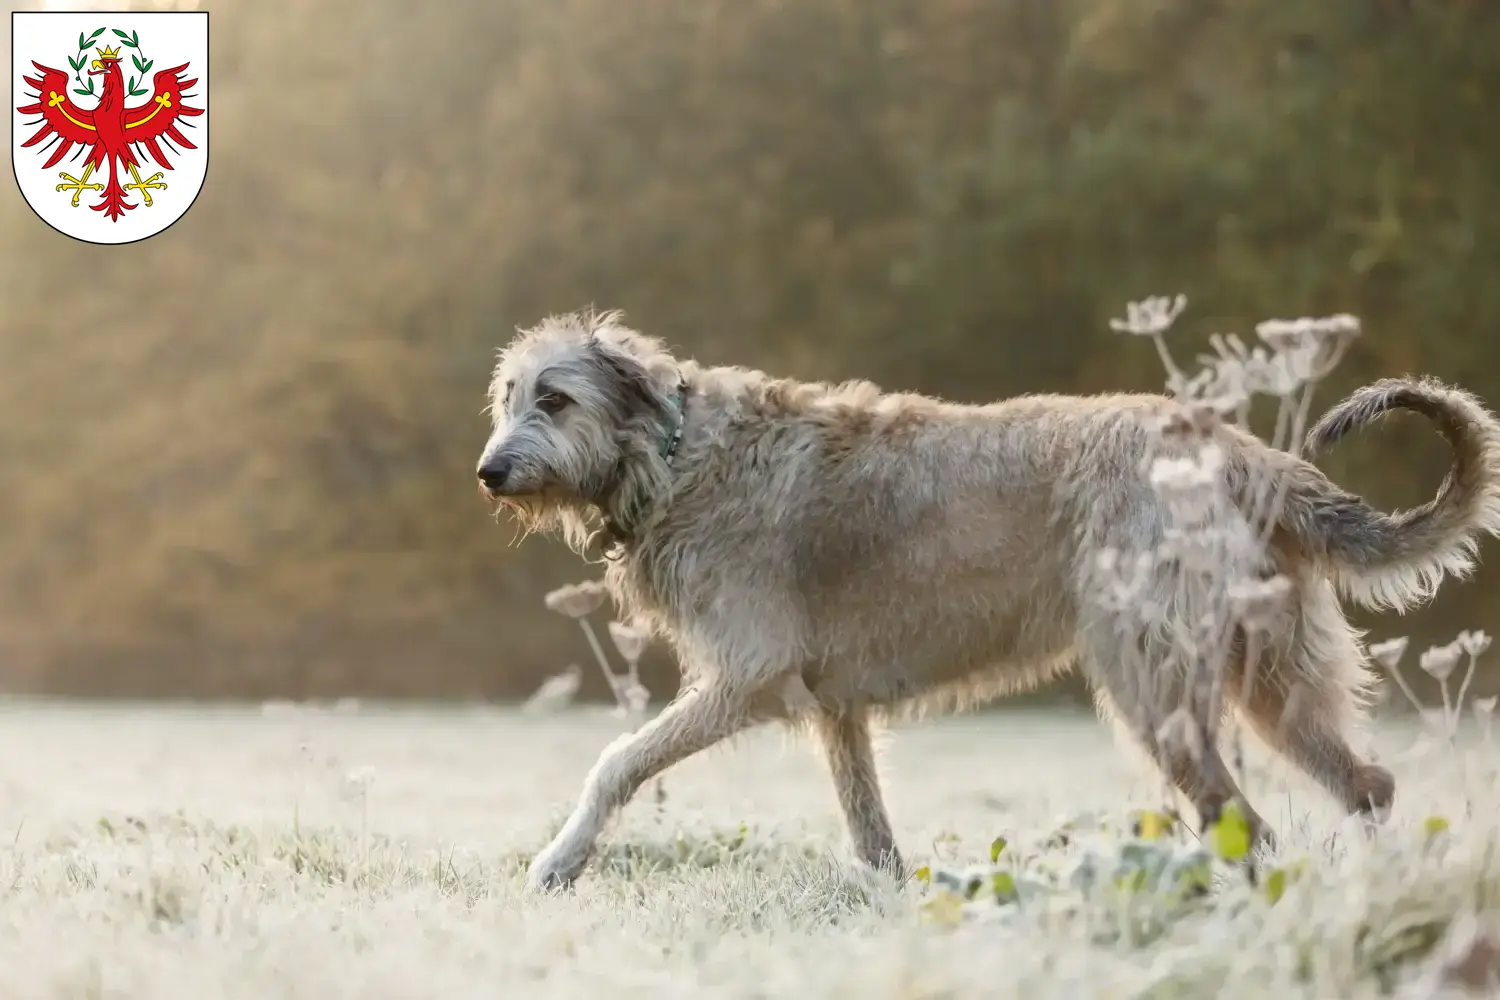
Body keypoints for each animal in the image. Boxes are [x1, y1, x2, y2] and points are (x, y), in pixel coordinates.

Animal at [477, 310, 1500, 893]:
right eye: (507, 397)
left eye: (555, 398)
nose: (488, 472)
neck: (676, 450)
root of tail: (1245, 454)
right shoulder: (837, 707)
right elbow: (870, 829)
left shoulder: (746, 677)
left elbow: (615, 763)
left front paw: (556, 863)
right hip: (1274, 683)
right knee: (1367, 785)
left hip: (1154, 686)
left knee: (1243, 821)